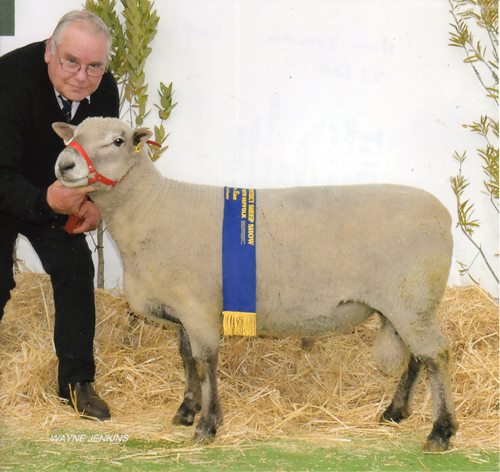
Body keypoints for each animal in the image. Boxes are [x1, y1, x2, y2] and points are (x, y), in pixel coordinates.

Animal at [51, 117, 458, 450]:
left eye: (117, 141)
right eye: (73, 136)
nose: (64, 164)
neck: (152, 208)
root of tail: (444, 214)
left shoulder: (197, 305)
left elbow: (205, 362)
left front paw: (208, 425)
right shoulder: (181, 308)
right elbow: (186, 358)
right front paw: (187, 410)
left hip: (411, 299)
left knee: (436, 355)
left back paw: (440, 431)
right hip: (408, 304)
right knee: (417, 358)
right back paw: (396, 411)